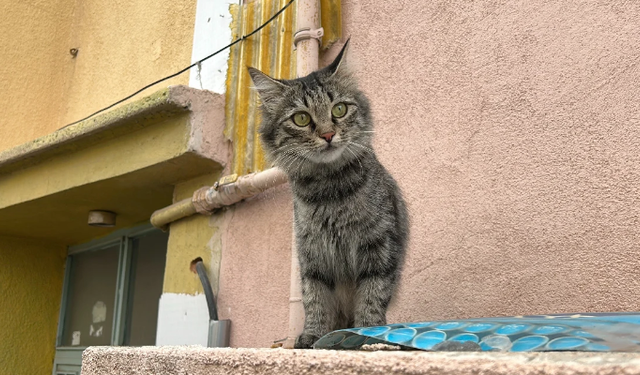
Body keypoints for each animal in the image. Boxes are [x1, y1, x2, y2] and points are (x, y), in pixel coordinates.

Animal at [248, 41, 408, 350]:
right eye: (301, 118)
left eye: (340, 109)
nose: (328, 135)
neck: (329, 191)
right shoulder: (312, 254)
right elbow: (315, 298)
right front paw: (313, 335)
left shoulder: (379, 244)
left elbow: (372, 294)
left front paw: (368, 334)